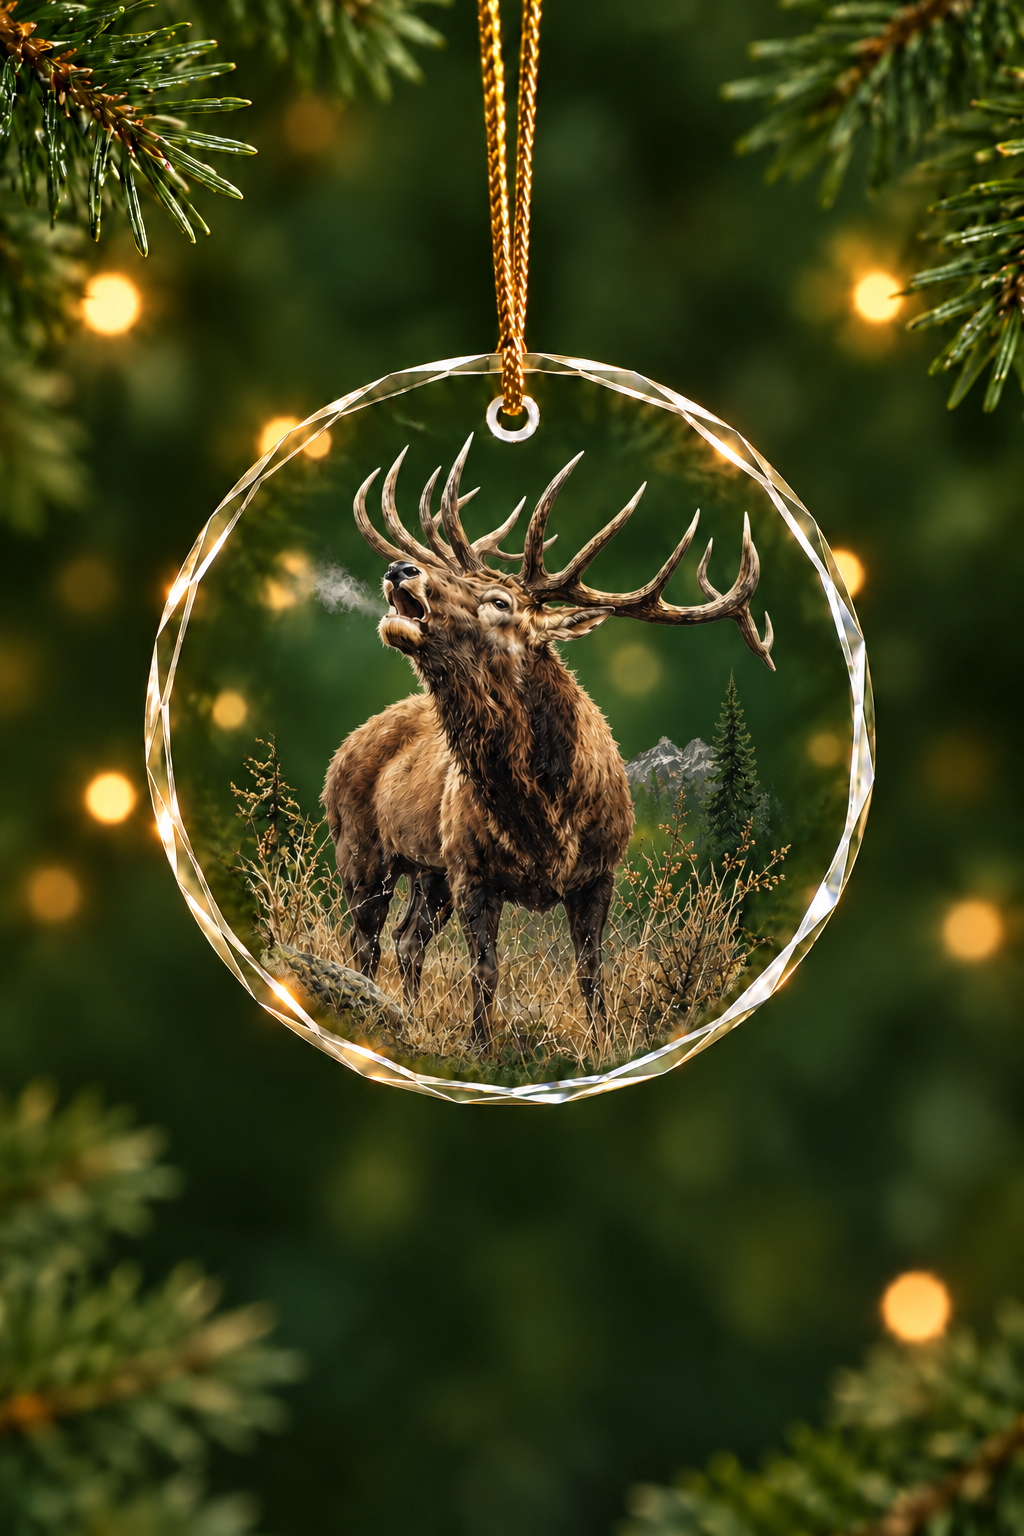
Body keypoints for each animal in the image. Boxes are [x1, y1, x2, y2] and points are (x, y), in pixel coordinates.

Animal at [322, 435, 774, 1054]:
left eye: (499, 601)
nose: (400, 568)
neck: (544, 816)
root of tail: (343, 749)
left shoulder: (598, 873)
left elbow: (591, 971)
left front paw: (603, 1047)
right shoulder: (472, 870)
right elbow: (485, 970)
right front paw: (481, 1052)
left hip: (427, 871)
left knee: (406, 939)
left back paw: (407, 1020)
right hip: (361, 850)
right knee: (364, 943)